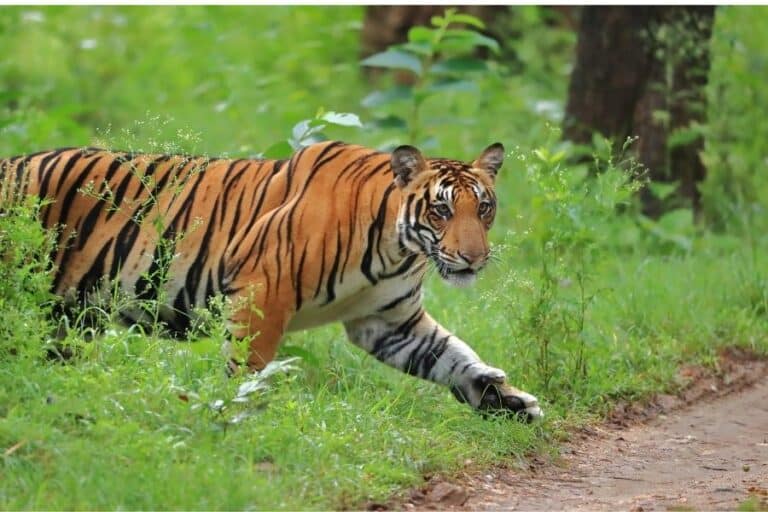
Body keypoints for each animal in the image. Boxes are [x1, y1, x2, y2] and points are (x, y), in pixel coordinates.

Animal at [0, 141, 542, 420]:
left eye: (484, 208)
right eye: (442, 209)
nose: (475, 258)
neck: (396, 248)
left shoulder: (389, 324)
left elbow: (454, 356)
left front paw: (506, 399)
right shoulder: (262, 291)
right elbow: (250, 370)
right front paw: (241, 418)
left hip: (67, 317)